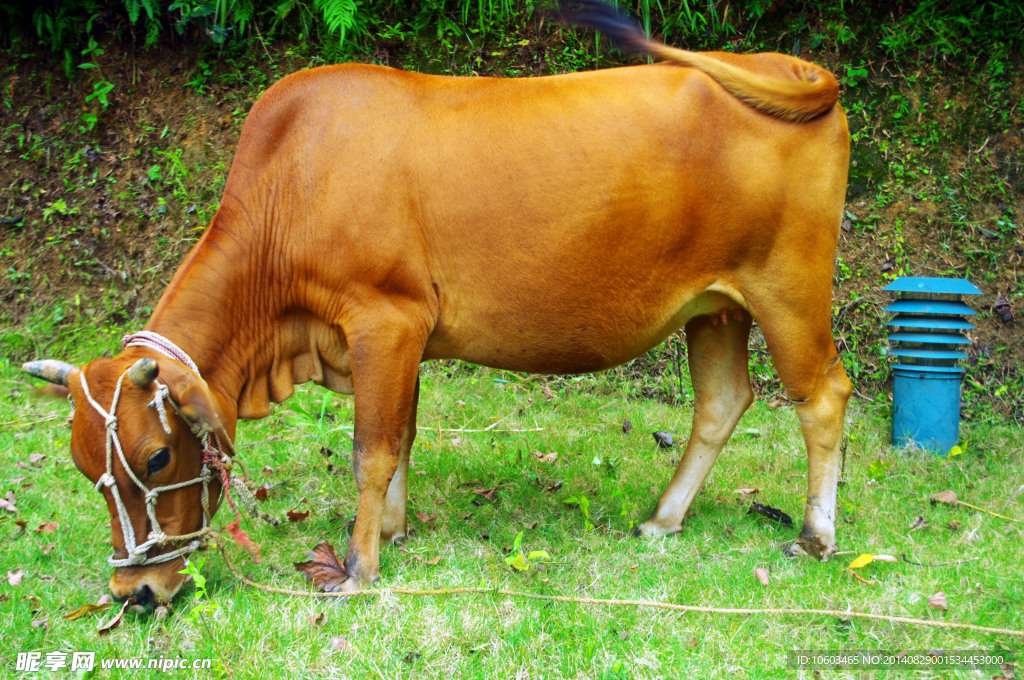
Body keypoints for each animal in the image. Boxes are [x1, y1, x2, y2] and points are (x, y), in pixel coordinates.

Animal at [25, 3, 856, 602]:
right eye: (81, 466)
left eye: (157, 455)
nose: (135, 592)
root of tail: (786, 64)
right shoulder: (398, 338)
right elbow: (402, 434)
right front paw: (391, 531)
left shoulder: (385, 319)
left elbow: (371, 446)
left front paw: (358, 566)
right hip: (716, 306)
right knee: (723, 401)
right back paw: (663, 519)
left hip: (788, 289)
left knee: (823, 395)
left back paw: (816, 537)